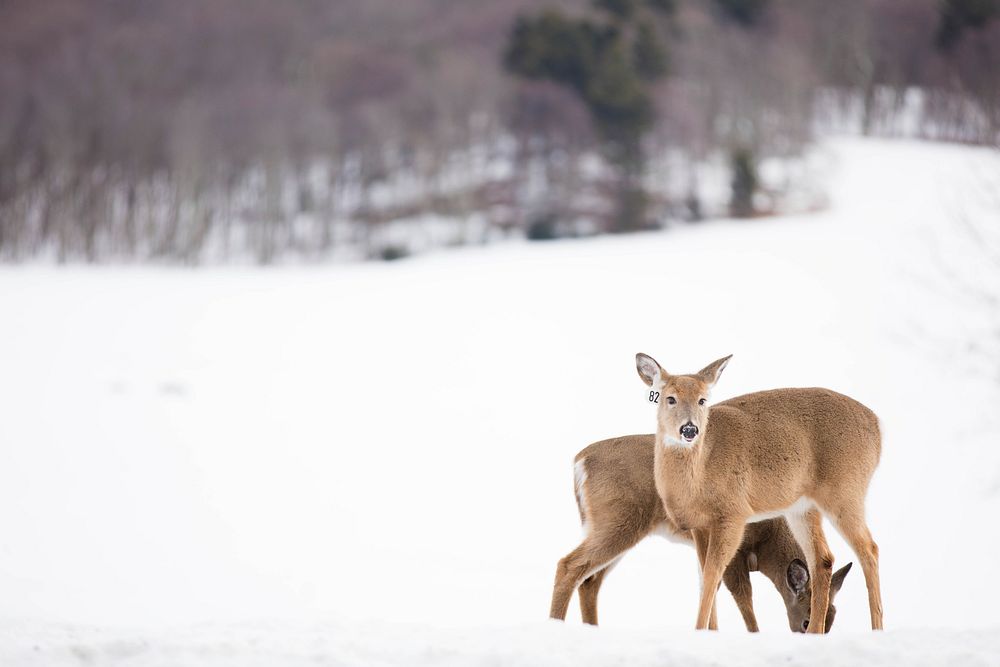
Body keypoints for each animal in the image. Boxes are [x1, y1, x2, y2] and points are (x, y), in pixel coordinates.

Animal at [548, 436, 852, 636]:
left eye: (832, 620)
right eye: (807, 621)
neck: (768, 540)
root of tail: (580, 462)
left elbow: (709, 584)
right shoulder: (735, 549)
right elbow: (741, 594)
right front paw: (752, 633)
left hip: (611, 525)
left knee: (590, 580)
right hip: (619, 520)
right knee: (569, 565)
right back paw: (556, 626)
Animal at [632, 352, 884, 636]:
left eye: (702, 399)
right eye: (670, 398)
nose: (689, 430)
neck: (697, 480)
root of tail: (878, 426)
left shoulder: (733, 515)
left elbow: (712, 576)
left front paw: (700, 630)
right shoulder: (700, 526)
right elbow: (706, 577)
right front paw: (710, 631)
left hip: (845, 491)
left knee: (869, 549)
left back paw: (877, 628)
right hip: (803, 508)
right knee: (823, 559)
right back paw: (815, 631)